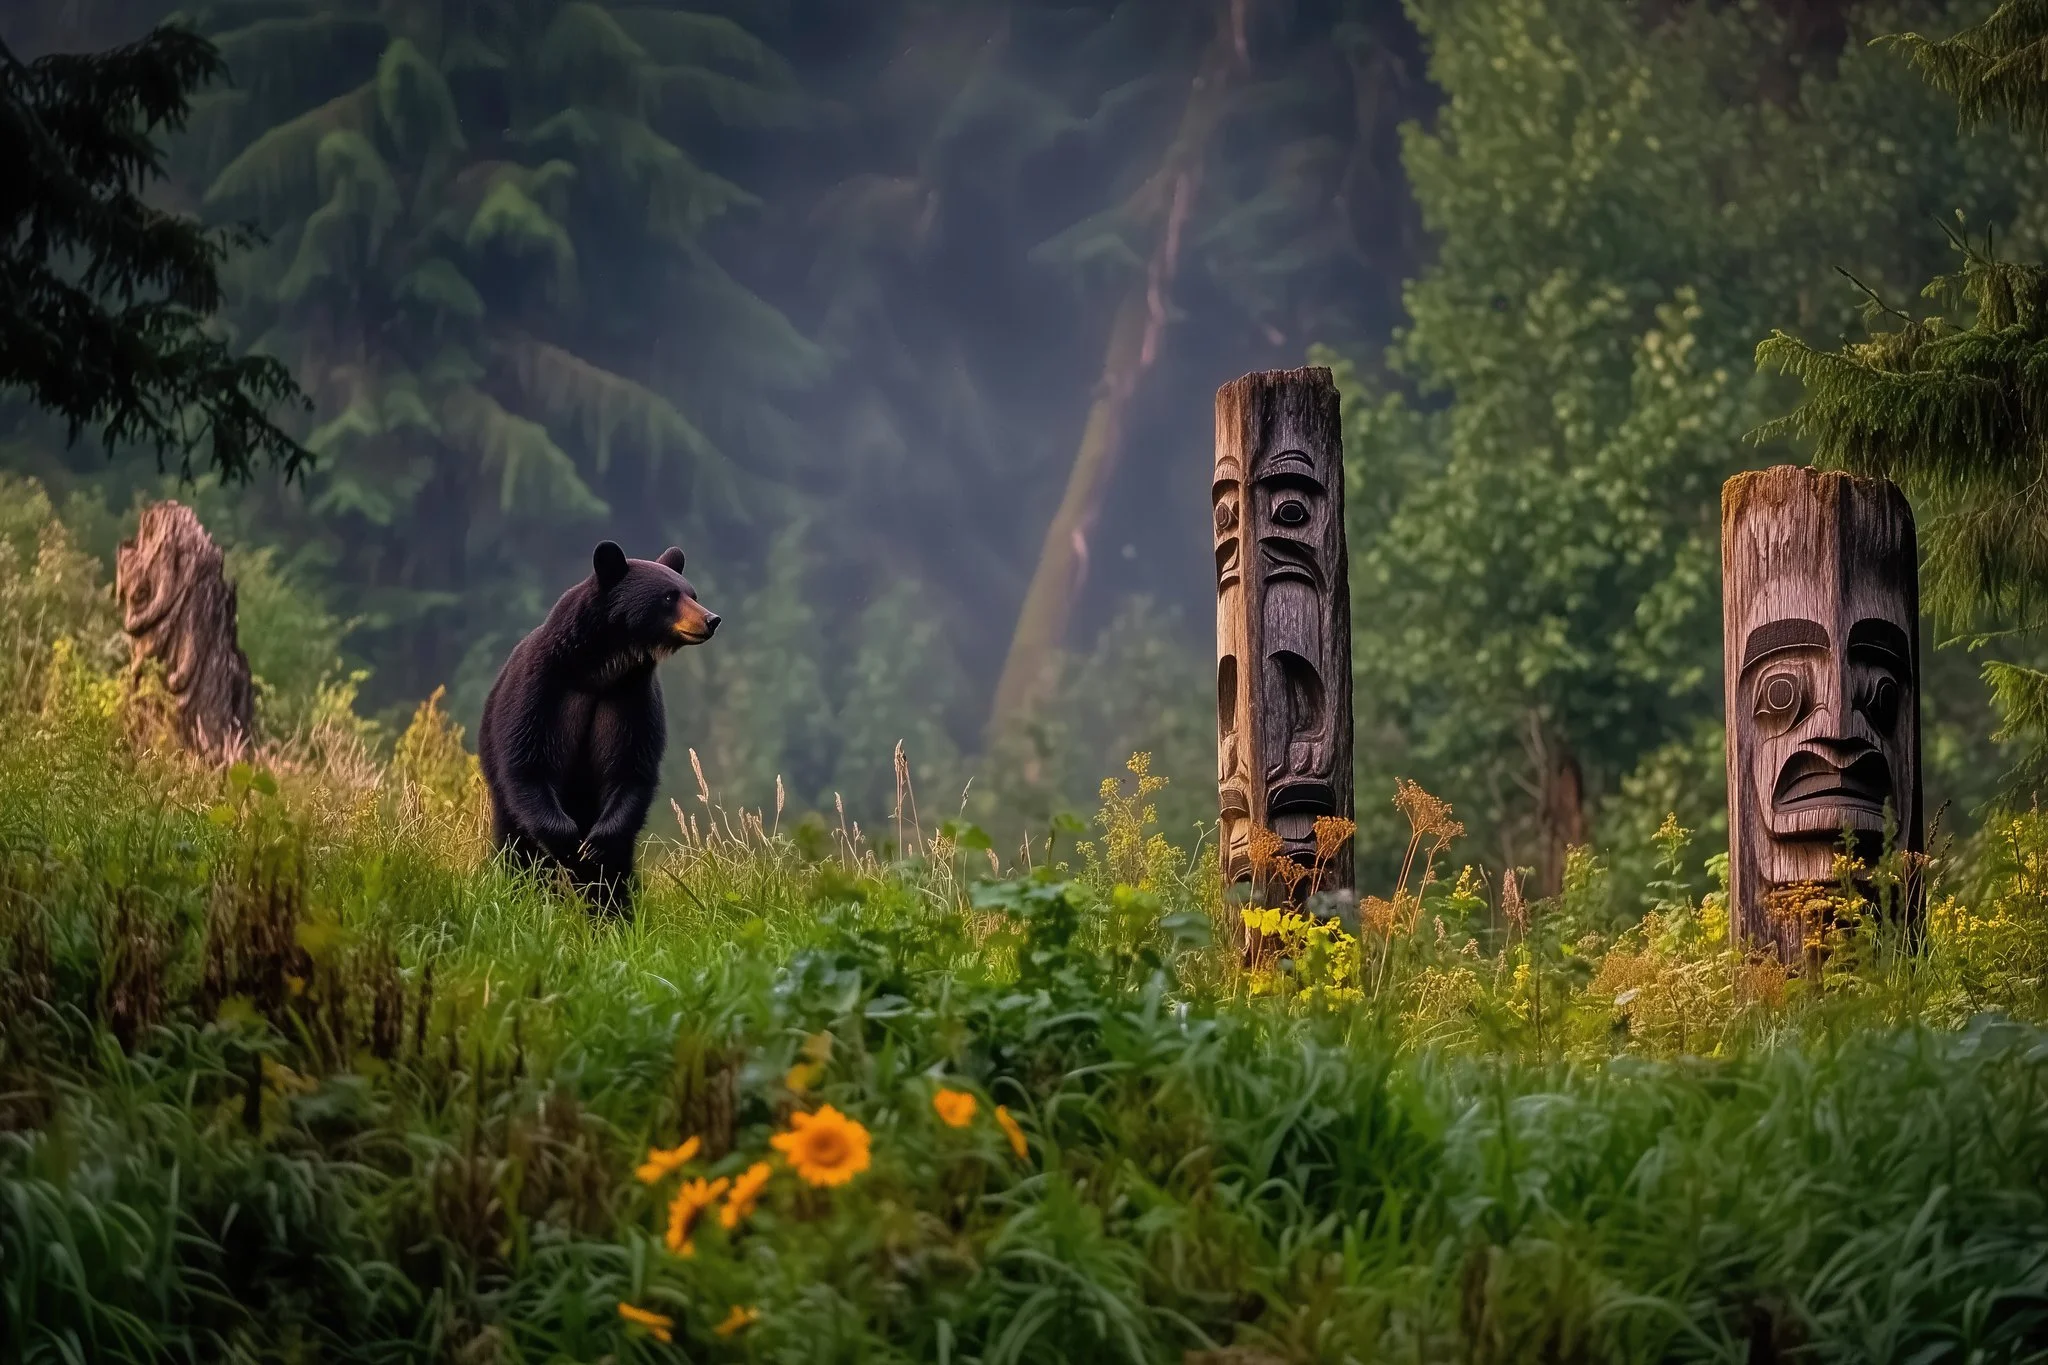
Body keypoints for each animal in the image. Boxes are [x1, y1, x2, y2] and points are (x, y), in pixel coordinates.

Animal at [479, 541, 719, 912]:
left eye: (692, 593)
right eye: (669, 596)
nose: (711, 619)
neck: (601, 668)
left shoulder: (630, 699)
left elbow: (630, 770)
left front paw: (595, 847)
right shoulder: (542, 690)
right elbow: (528, 762)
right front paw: (567, 842)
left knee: (616, 870)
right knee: (518, 848)